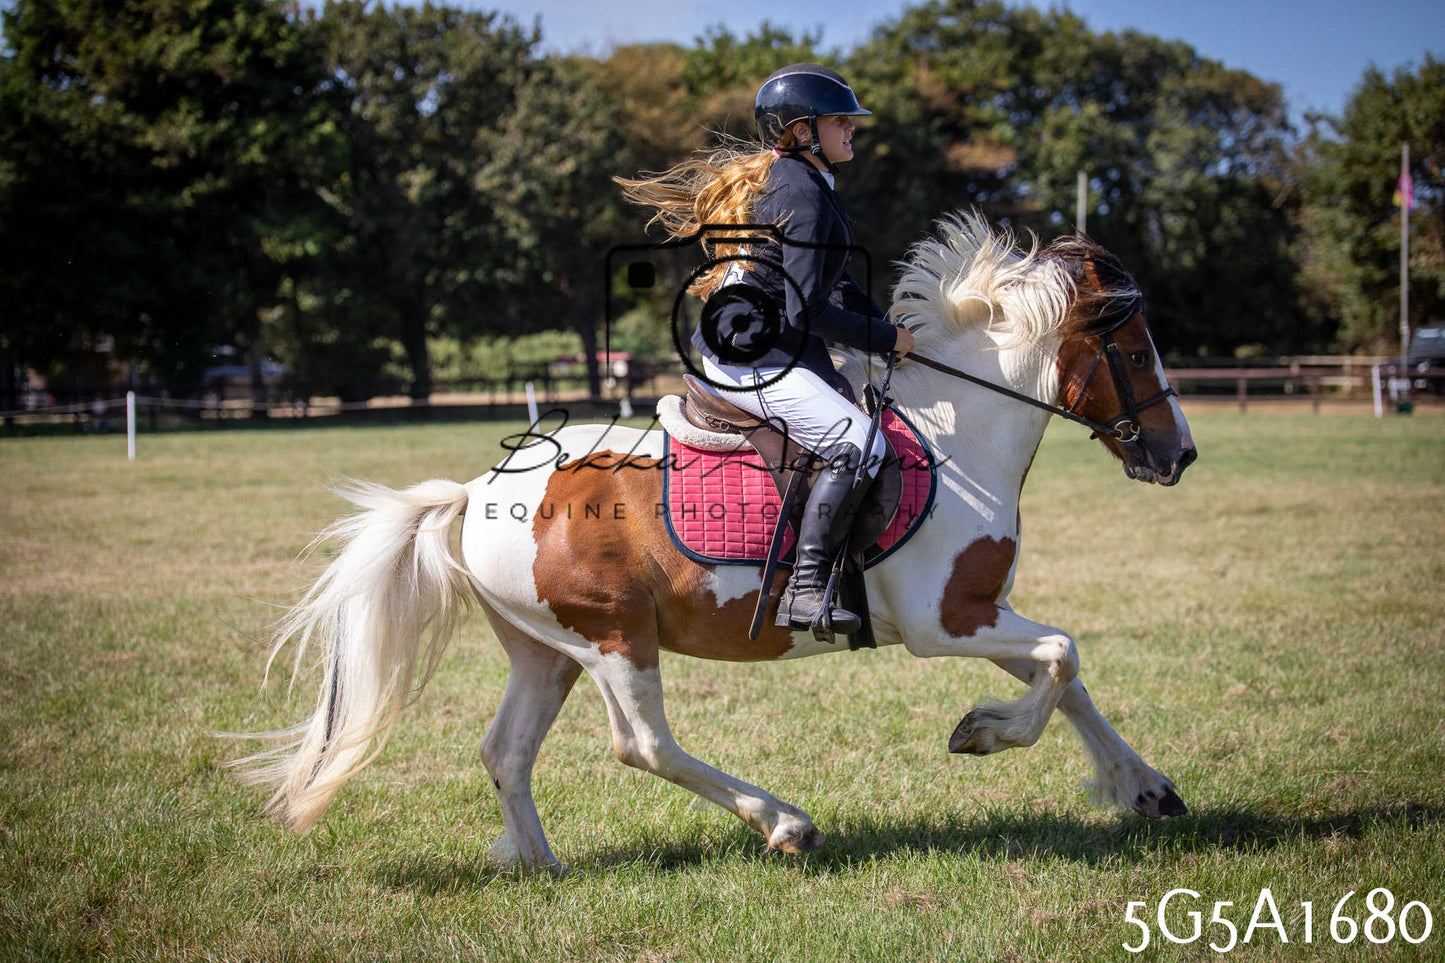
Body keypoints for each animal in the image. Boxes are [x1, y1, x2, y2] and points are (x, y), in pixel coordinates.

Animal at [234, 214, 1197, 873]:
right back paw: (783, 822)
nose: (1179, 454)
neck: (958, 434)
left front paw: (1143, 786)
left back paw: (540, 862)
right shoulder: (945, 622)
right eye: (1133, 350)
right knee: (643, 746)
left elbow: (1068, 676)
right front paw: (984, 733)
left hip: (544, 649)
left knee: (506, 749)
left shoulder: (978, 608)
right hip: (615, 637)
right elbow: (1062, 657)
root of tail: (476, 492)